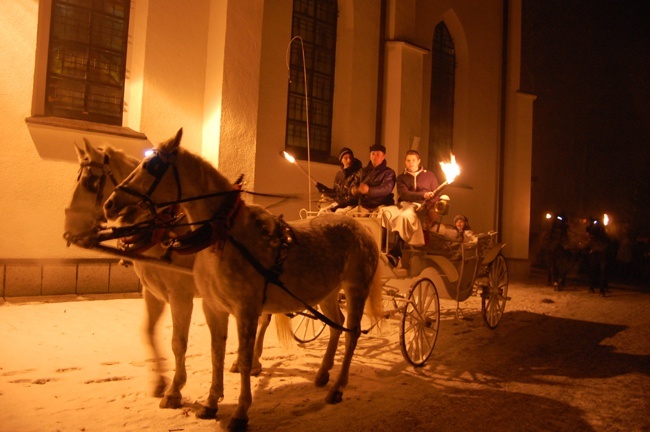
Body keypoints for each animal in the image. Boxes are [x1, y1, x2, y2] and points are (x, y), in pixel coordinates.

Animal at [66, 140, 274, 410]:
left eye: (91, 180)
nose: (70, 230)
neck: (161, 232)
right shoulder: (152, 294)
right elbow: (148, 332)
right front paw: (159, 382)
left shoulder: (180, 296)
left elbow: (179, 341)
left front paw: (175, 390)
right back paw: (240, 363)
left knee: (264, 319)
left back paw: (255, 361)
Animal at [103, 129, 382, 432]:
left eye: (152, 166)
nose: (110, 205)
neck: (224, 236)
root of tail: (362, 229)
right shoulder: (212, 307)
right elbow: (216, 352)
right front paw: (210, 403)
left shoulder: (242, 309)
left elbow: (243, 358)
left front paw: (239, 412)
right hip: (327, 292)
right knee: (335, 325)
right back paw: (322, 374)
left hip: (356, 288)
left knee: (352, 332)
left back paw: (338, 387)